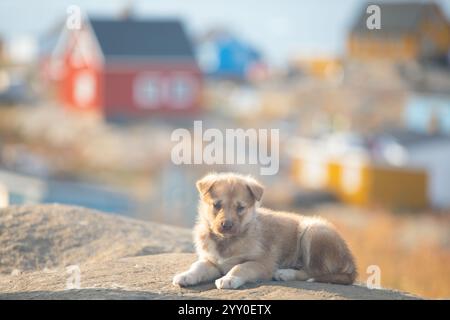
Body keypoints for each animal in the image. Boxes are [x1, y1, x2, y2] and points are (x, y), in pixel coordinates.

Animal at [173, 172, 358, 290]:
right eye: (216, 205)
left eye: (240, 208)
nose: (226, 225)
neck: (227, 241)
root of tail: (352, 264)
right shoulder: (211, 261)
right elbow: (197, 267)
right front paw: (185, 276)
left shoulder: (262, 263)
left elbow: (240, 267)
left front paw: (229, 279)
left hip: (314, 232)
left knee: (315, 272)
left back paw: (286, 273)